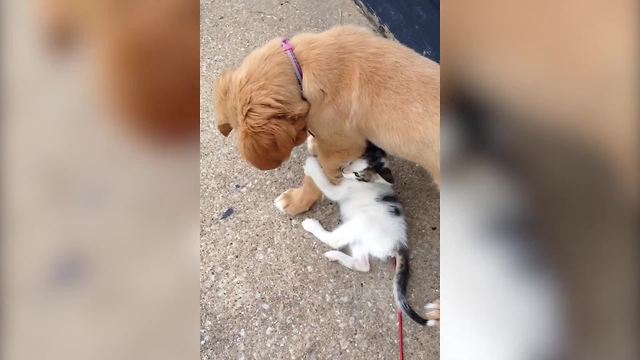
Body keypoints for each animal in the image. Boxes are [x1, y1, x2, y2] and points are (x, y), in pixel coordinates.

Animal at [300, 142, 430, 324]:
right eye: (351, 161)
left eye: (357, 174)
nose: (343, 171)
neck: (362, 183)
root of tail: (399, 244)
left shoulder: (340, 190)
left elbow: (325, 184)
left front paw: (311, 165)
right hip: (360, 237)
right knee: (363, 265)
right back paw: (335, 256)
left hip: (360, 222)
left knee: (335, 240)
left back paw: (312, 226)